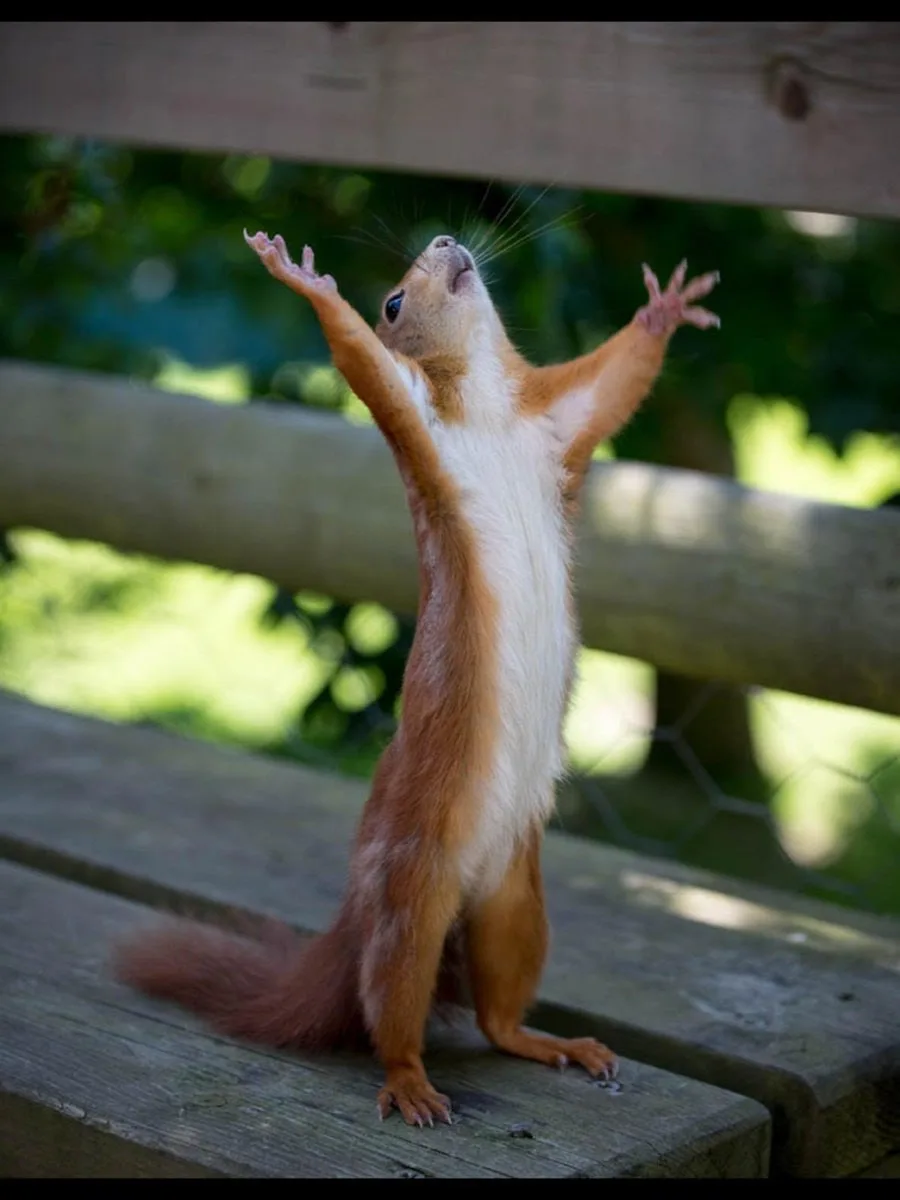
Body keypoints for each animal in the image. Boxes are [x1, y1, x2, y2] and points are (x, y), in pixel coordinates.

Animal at [115, 227, 719, 1127]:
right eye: (394, 301)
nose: (444, 240)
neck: (490, 408)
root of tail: (359, 914)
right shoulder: (416, 421)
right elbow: (362, 361)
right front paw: (307, 282)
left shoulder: (558, 422)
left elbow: (614, 382)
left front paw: (665, 309)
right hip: (411, 896)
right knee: (390, 1008)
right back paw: (409, 1083)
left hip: (516, 902)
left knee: (498, 1014)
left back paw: (553, 1044)